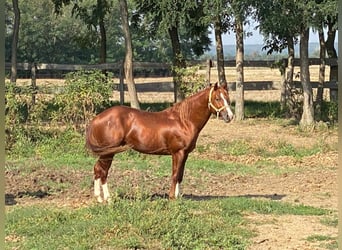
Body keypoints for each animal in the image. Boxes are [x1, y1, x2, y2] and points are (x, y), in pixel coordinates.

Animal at [85, 82, 234, 203]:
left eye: (227, 98)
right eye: (217, 98)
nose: (230, 116)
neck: (183, 120)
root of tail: (97, 118)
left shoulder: (185, 154)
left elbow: (180, 176)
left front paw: (177, 197)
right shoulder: (177, 153)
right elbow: (175, 175)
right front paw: (172, 197)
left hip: (106, 153)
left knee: (97, 169)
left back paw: (99, 198)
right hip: (108, 153)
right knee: (102, 171)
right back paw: (107, 199)